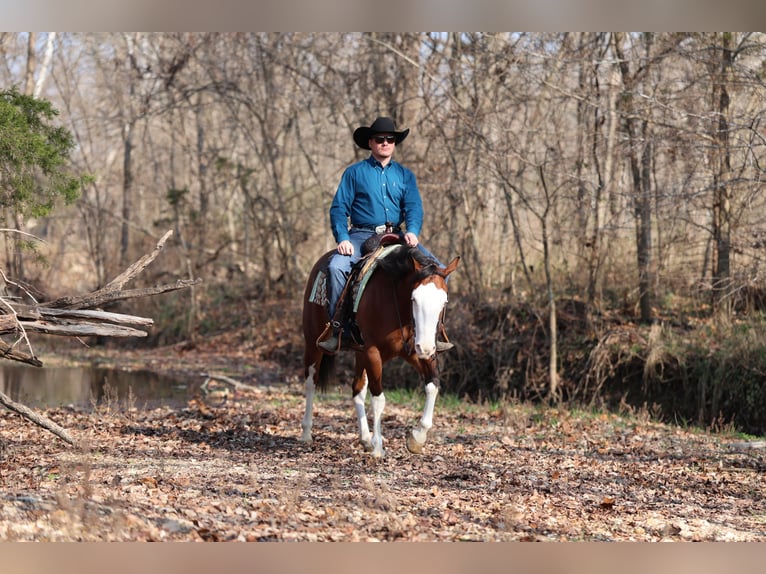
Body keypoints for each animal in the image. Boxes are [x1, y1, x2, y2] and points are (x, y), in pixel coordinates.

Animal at [300, 237, 459, 458]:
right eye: (414, 299)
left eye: (444, 301)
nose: (426, 347)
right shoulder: (373, 352)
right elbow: (378, 399)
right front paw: (378, 447)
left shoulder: (415, 351)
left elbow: (432, 385)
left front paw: (417, 437)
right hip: (314, 343)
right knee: (311, 382)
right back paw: (306, 433)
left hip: (360, 353)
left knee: (357, 389)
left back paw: (365, 439)